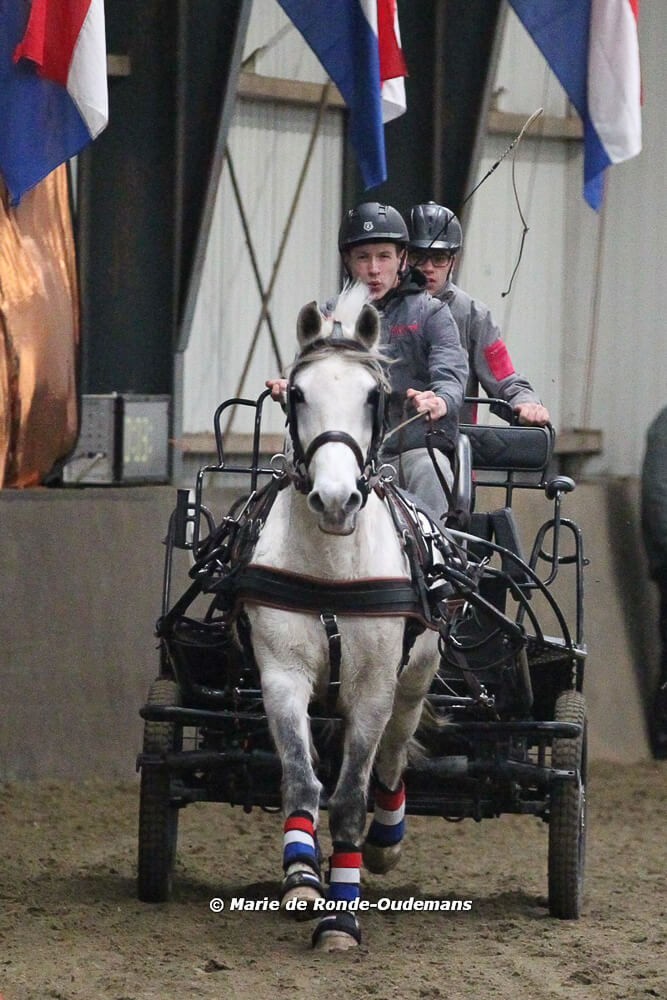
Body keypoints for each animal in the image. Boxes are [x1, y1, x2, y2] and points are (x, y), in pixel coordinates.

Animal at [243, 284, 442, 951]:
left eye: (374, 396)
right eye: (298, 394)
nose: (335, 500)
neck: (332, 569)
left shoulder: (374, 687)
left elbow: (352, 796)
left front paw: (342, 915)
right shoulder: (280, 675)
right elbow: (302, 780)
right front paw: (304, 877)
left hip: (416, 677)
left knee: (393, 760)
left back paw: (386, 840)